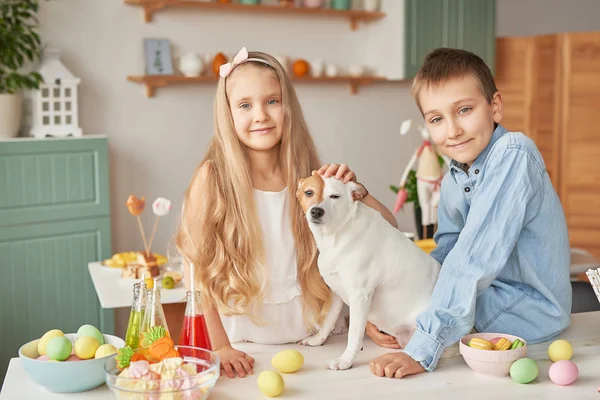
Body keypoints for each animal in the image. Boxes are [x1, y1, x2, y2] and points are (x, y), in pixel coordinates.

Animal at [296, 173, 440, 370]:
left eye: (335, 196)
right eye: (309, 192)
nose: (316, 211)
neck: (336, 235)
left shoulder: (359, 295)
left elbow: (354, 334)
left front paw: (345, 360)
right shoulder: (336, 292)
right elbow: (328, 321)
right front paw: (317, 341)